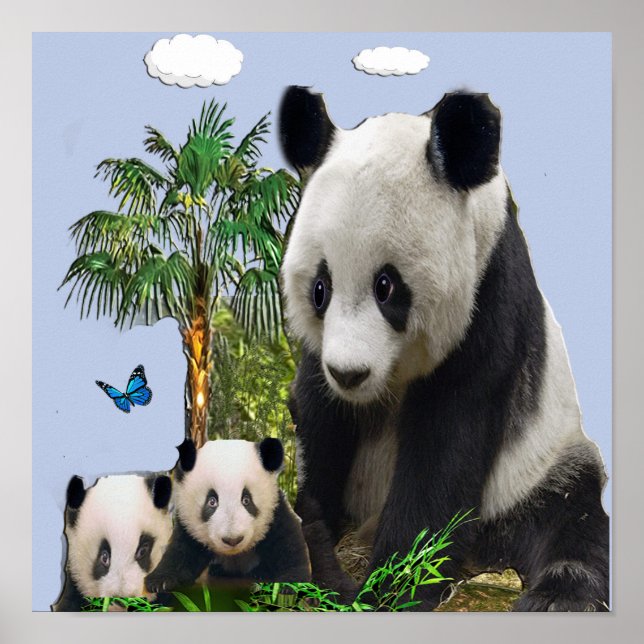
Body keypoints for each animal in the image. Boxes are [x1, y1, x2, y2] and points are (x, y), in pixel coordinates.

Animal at [145, 438, 311, 592]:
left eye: (246, 500)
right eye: (212, 501)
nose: (233, 540)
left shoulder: (274, 511)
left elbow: (287, 543)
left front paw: (292, 583)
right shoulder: (188, 522)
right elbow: (182, 550)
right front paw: (160, 581)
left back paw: (260, 571)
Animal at [278, 86, 609, 611]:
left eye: (386, 286)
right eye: (319, 289)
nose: (350, 374)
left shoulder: (488, 299)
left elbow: (447, 442)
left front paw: (391, 586)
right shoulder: (321, 357)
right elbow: (321, 421)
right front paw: (312, 549)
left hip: (539, 463)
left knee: (571, 519)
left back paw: (557, 594)